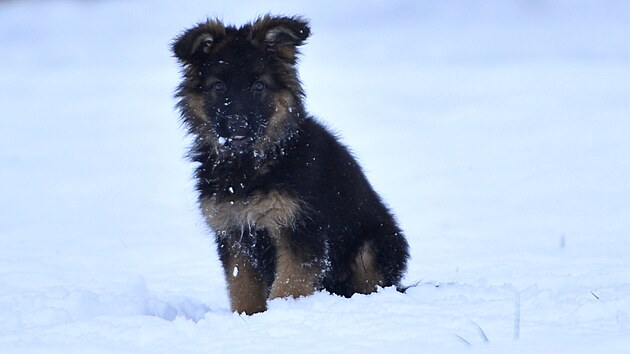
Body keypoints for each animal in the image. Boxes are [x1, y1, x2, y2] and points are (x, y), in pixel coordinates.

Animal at [173, 15, 410, 314]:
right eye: (218, 87)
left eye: (258, 86)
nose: (238, 125)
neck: (251, 166)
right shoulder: (235, 232)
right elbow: (242, 288)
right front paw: (248, 318)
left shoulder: (299, 228)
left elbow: (289, 285)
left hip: (374, 247)